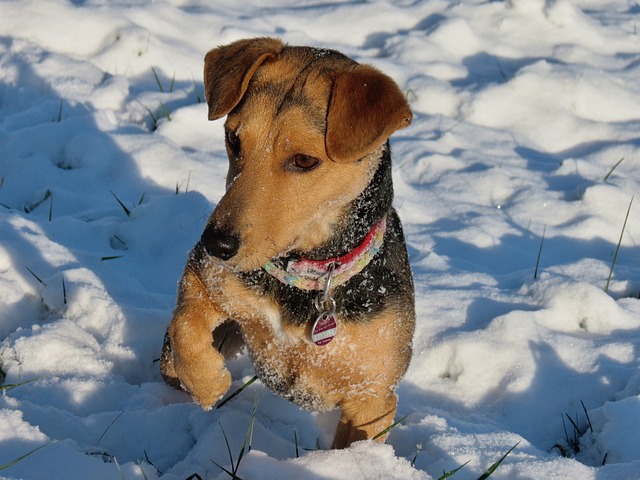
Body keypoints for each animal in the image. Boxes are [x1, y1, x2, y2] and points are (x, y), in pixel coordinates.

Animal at [160, 37, 416, 450]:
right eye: (233, 139)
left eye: (304, 160)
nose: (216, 243)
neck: (306, 277)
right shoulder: (205, 278)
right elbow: (187, 327)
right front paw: (210, 383)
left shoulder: (372, 396)